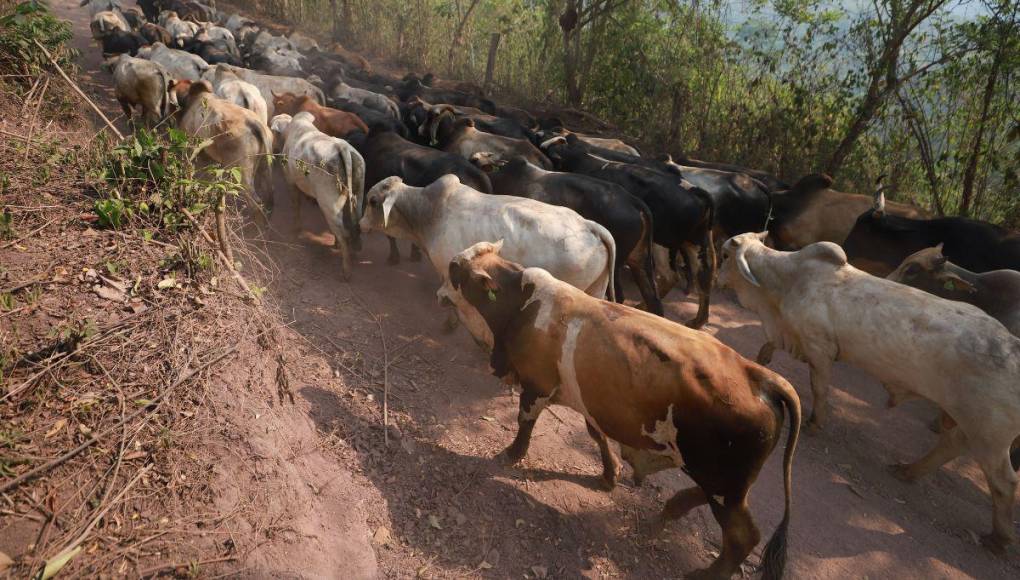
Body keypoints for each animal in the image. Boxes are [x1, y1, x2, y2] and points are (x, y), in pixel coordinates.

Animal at [359, 172, 612, 344]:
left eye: (372, 201)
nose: (360, 224)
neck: (428, 213)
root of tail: (590, 225)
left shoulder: (448, 271)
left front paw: (451, 326)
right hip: (596, 292)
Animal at [450, 239, 799, 578]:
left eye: (457, 269)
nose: (449, 269)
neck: (525, 304)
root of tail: (759, 376)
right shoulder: (590, 401)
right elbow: (596, 435)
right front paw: (610, 474)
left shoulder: (537, 387)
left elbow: (525, 422)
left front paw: (512, 454)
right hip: (723, 482)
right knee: (708, 501)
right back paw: (670, 511)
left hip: (721, 482)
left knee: (744, 536)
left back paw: (705, 572)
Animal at [542, 138, 718, 328]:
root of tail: (695, 192)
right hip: (694, 243)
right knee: (703, 275)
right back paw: (694, 321)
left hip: (662, 244)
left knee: (668, 276)